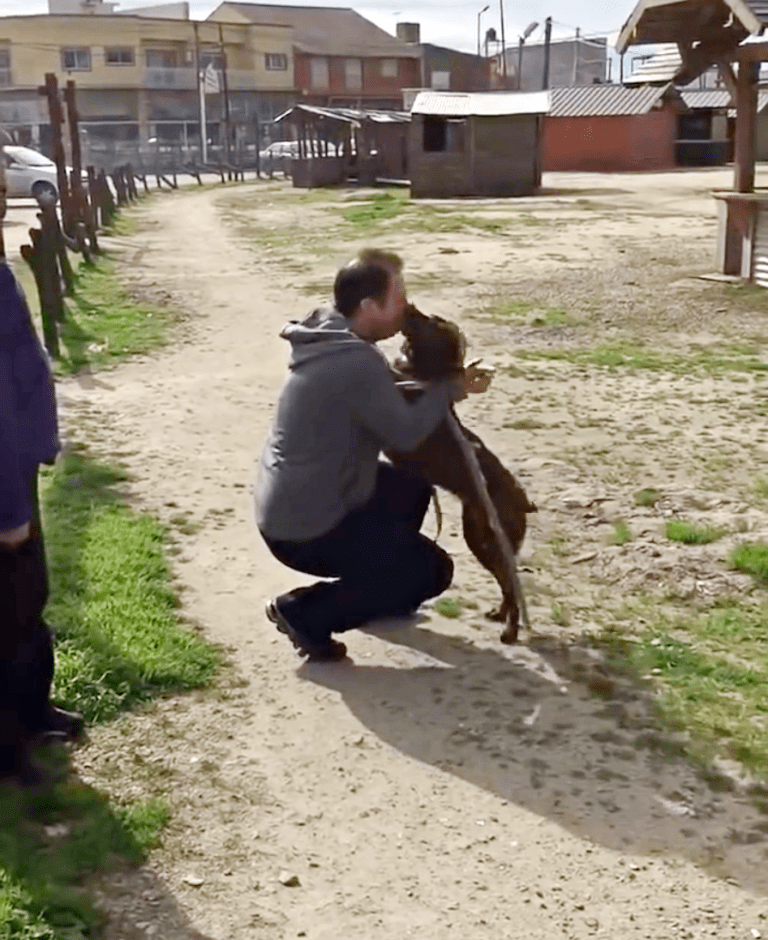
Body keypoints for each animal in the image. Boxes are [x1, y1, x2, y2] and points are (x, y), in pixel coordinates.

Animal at [388, 304, 536, 644]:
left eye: (431, 321)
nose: (408, 305)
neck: (425, 375)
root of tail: (523, 501)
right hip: (481, 539)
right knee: (508, 585)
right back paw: (500, 615)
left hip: (488, 542)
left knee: (511, 586)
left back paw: (510, 630)